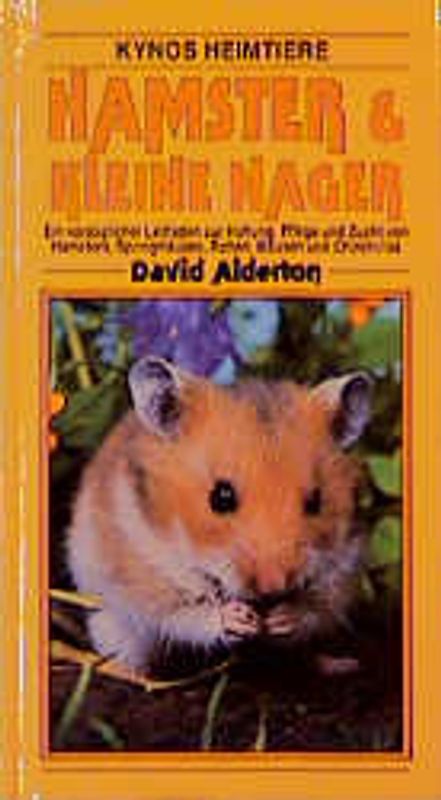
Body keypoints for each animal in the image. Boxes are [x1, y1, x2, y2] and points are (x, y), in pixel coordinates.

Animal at [68, 356, 372, 671]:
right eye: (221, 497)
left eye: (315, 502)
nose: (274, 586)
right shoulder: (147, 575)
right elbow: (185, 615)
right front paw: (239, 618)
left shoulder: (342, 571)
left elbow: (314, 610)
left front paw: (282, 618)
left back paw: (340, 663)